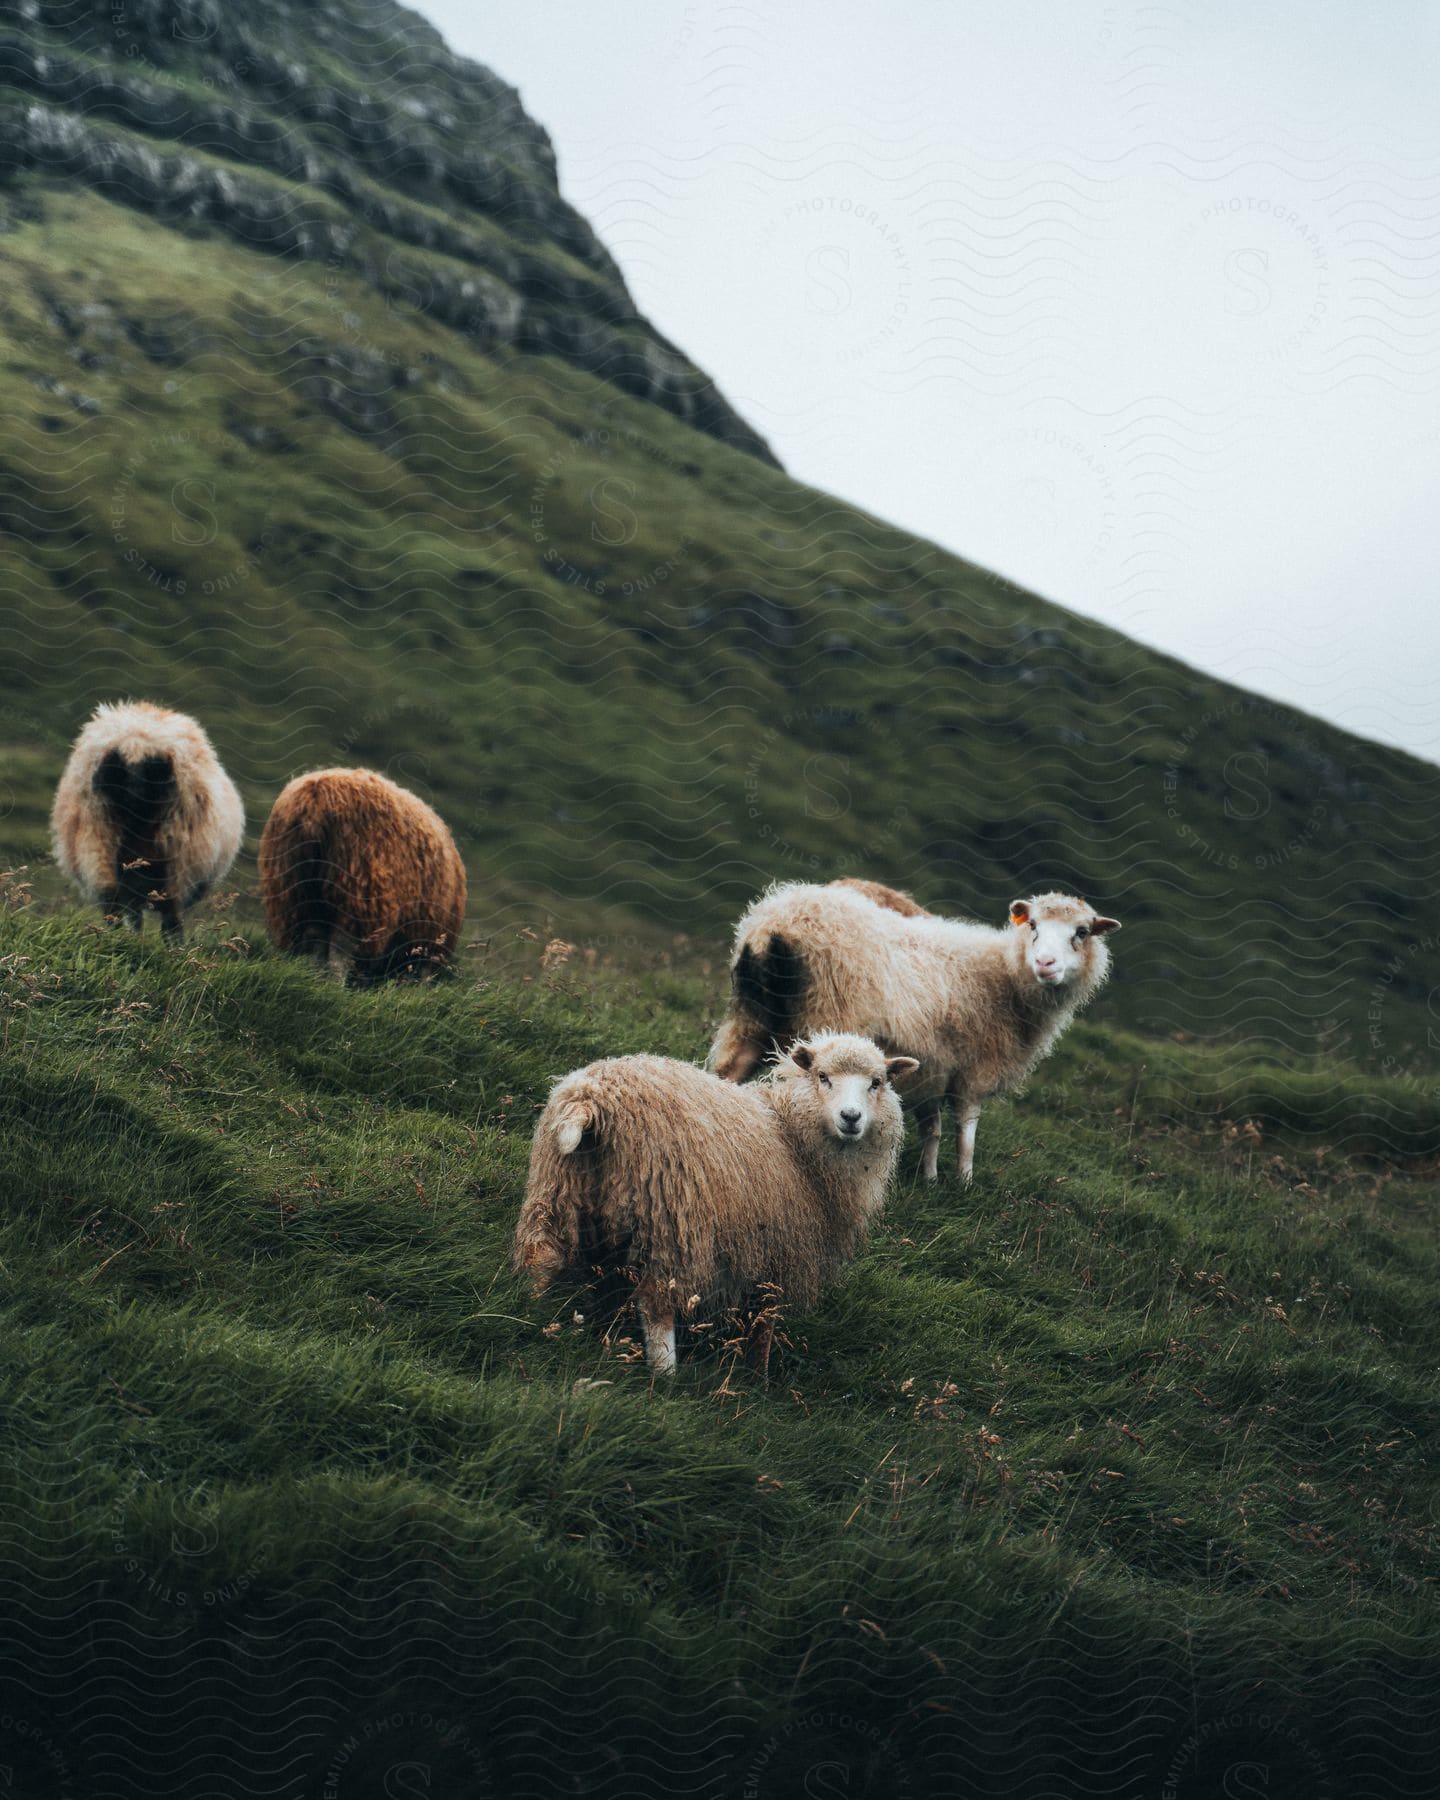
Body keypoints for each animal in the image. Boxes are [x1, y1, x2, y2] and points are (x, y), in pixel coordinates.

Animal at [51, 694, 244, 943]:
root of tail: (136, 744)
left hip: (96, 832)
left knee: (110, 894)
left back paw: (114, 936)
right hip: (179, 849)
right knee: (170, 909)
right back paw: (171, 944)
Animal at [255, 763, 464, 986]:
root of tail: (315, 799)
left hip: (295, 889)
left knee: (314, 940)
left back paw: (315, 979)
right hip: (357, 891)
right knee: (341, 948)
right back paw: (335, 985)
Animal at [511, 1036, 918, 1368]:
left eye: (877, 1082)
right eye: (823, 1076)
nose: (851, 1117)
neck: (790, 1132)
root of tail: (591, 1101)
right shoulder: (781, 1252)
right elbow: (763, 1327)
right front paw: (758, 1380)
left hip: (554, 1189)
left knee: (541, 1258)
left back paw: (533, 1318)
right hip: (671, 1219)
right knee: (656, 1303)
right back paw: (665, 1376)